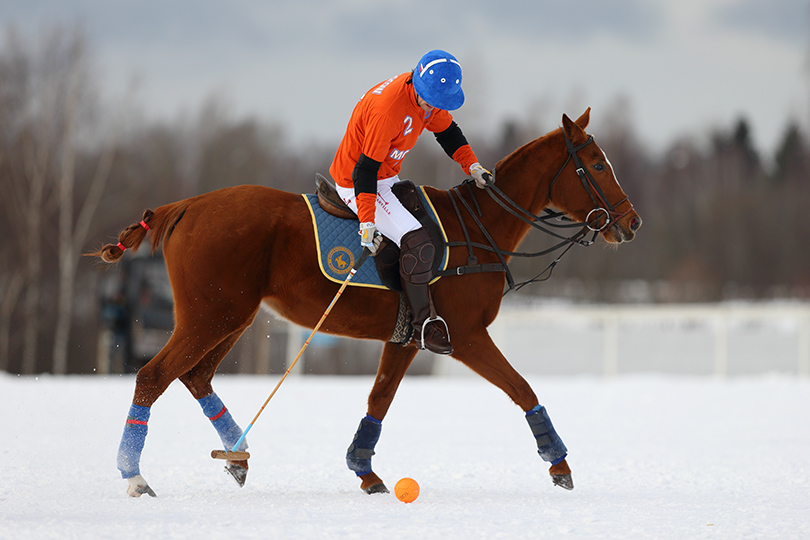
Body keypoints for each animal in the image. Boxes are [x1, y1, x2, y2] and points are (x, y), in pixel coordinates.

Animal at [93, 108, 636, 498]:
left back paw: (237, 456)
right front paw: (559, 464)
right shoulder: (465, 334)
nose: (632, 224)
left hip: (231, 317)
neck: (479, 229)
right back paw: (135, 477)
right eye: (597, 165)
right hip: (211, 315)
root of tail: (183, 206)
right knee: (153, 376)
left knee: (196, 376)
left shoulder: (409, 336)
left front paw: (365, 471)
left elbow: (379, 398)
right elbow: (522, 388)